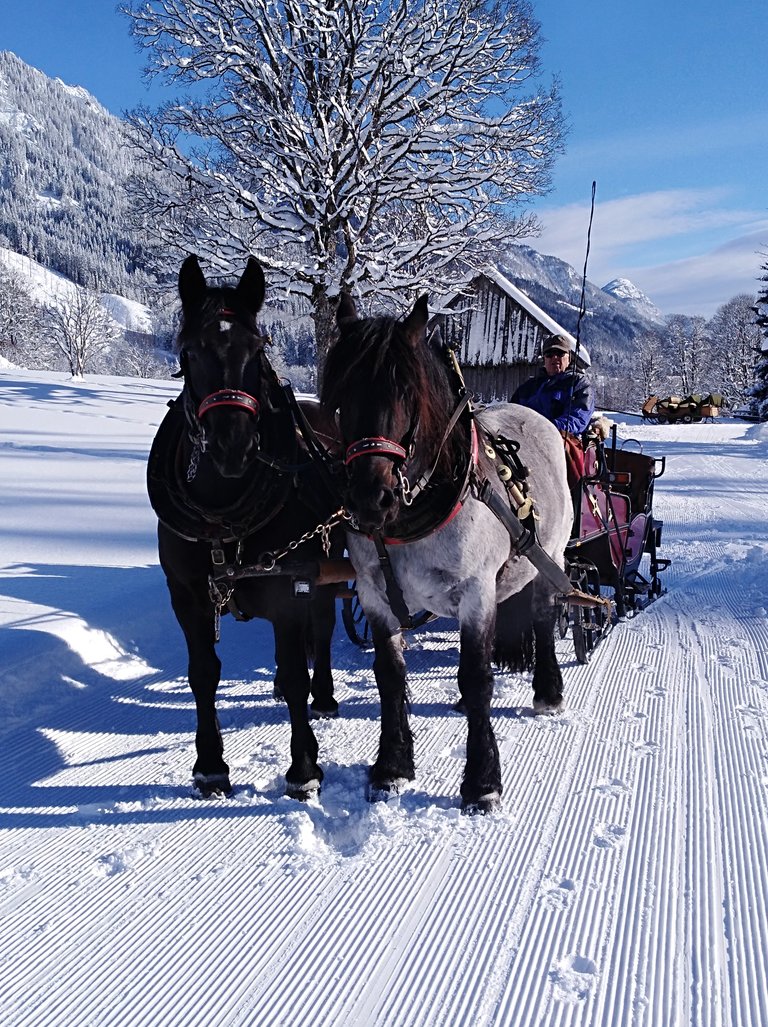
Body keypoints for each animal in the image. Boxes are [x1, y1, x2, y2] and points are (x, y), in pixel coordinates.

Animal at [147, 256, 344, 801]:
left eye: (257, 349)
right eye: (189, 350)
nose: (231, 445)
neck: (223, 512)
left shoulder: (290, 583)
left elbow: (297, 673)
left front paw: (304, 768)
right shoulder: (186, 593)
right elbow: (202, 673)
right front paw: (210, 766)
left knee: (321, 630)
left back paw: (324, 696)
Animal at [320, 293, 574, 813]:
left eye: (407, 393)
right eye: (340, 395)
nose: (369, 500)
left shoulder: (475, 592)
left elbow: (476, 679)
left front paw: (482, 781)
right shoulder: (375, 595)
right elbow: (389, 676)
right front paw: (392, 767)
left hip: (551, 558)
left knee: (542, 616)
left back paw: (547, 691)